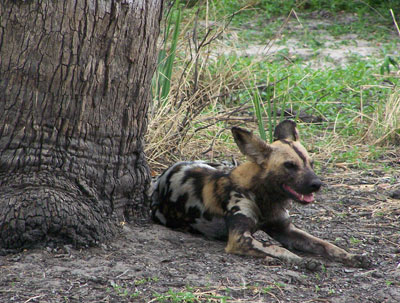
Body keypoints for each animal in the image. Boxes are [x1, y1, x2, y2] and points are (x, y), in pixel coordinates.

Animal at [151, 120, 372, 270]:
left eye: (311, 163)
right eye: (290, 165)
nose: (317, 185)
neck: (265, 197)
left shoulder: (286, 230)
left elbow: (326, 245)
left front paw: (351, 256)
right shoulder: (240, 238)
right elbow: (278, 249)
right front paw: (303, 261)